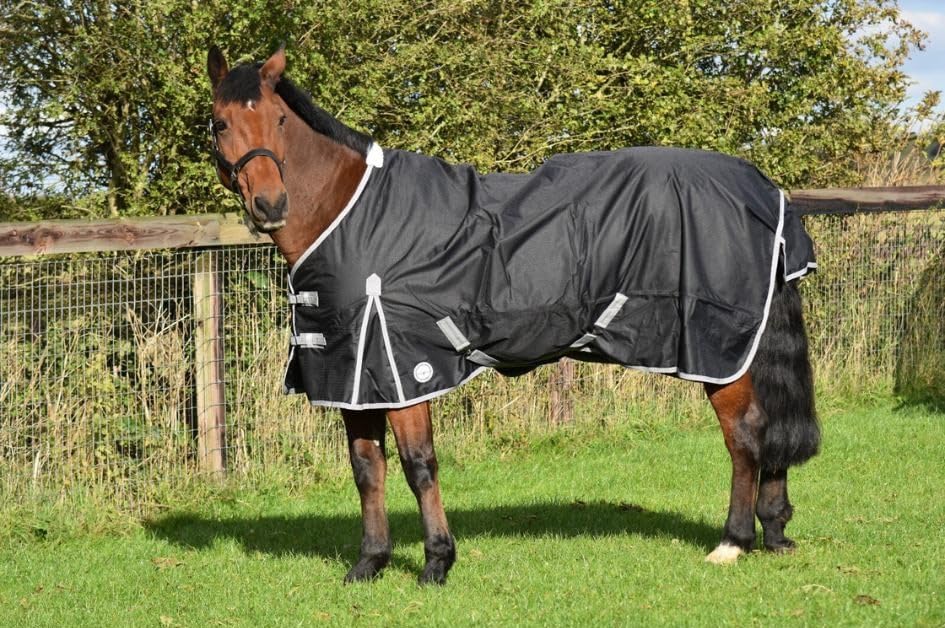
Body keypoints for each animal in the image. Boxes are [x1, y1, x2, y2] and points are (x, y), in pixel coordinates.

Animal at [206, 46, 820, 585]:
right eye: (220, 123)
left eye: (279, 119)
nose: (270, 204)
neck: (352, 217)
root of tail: (764, 191)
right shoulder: (354, 378)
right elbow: (367, 470)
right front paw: (369, 564)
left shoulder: (404, 369)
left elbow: (418, 466)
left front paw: (436, 563)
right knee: (769, 433)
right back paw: (773, 530)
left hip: (720, 351)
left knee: (746, 436)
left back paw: (733, 541)